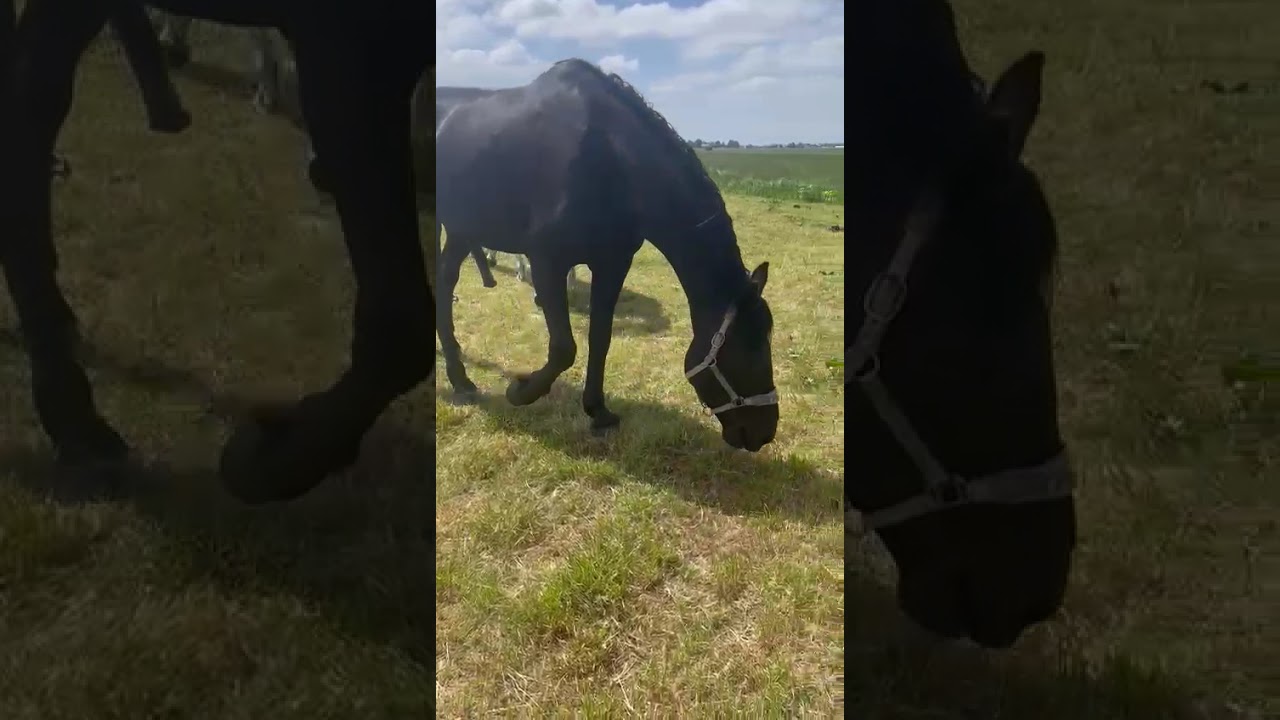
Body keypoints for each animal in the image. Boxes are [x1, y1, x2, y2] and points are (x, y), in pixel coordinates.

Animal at [435, 59, 779, 452]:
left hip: (461, 230)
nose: (763, 432)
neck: (608, 157)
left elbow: (600, 339)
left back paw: (460, 378)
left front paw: (598, 411)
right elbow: (563, 347)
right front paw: (520, 391)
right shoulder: (547, 262)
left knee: (445, 283)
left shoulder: (613, 264)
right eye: (748, 350)